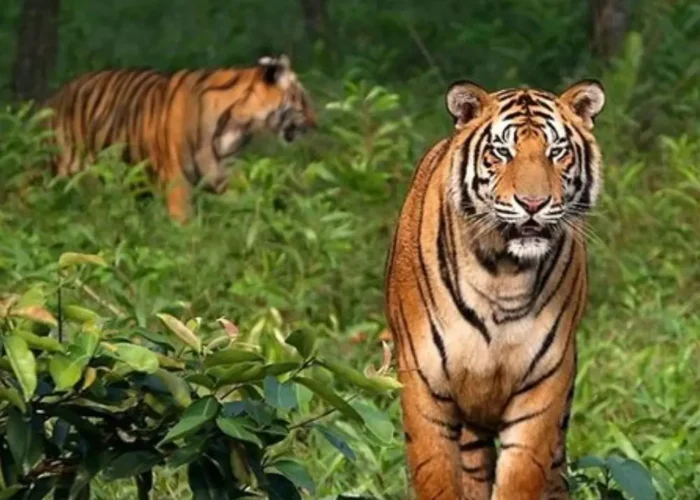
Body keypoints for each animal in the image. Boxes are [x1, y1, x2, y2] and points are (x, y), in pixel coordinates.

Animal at [44, 54, 317, 222]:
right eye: (302, 100)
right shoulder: (177, 182)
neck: (239, 125)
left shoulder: (224, 175)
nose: (316, 123)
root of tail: (56, 95)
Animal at [384, 79, 605, 500]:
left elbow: (520, 478)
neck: (503, 272)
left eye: (557, 152)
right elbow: (436, 478)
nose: (533, 203)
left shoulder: (543, 386)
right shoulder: (425, 385)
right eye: (502, 151)